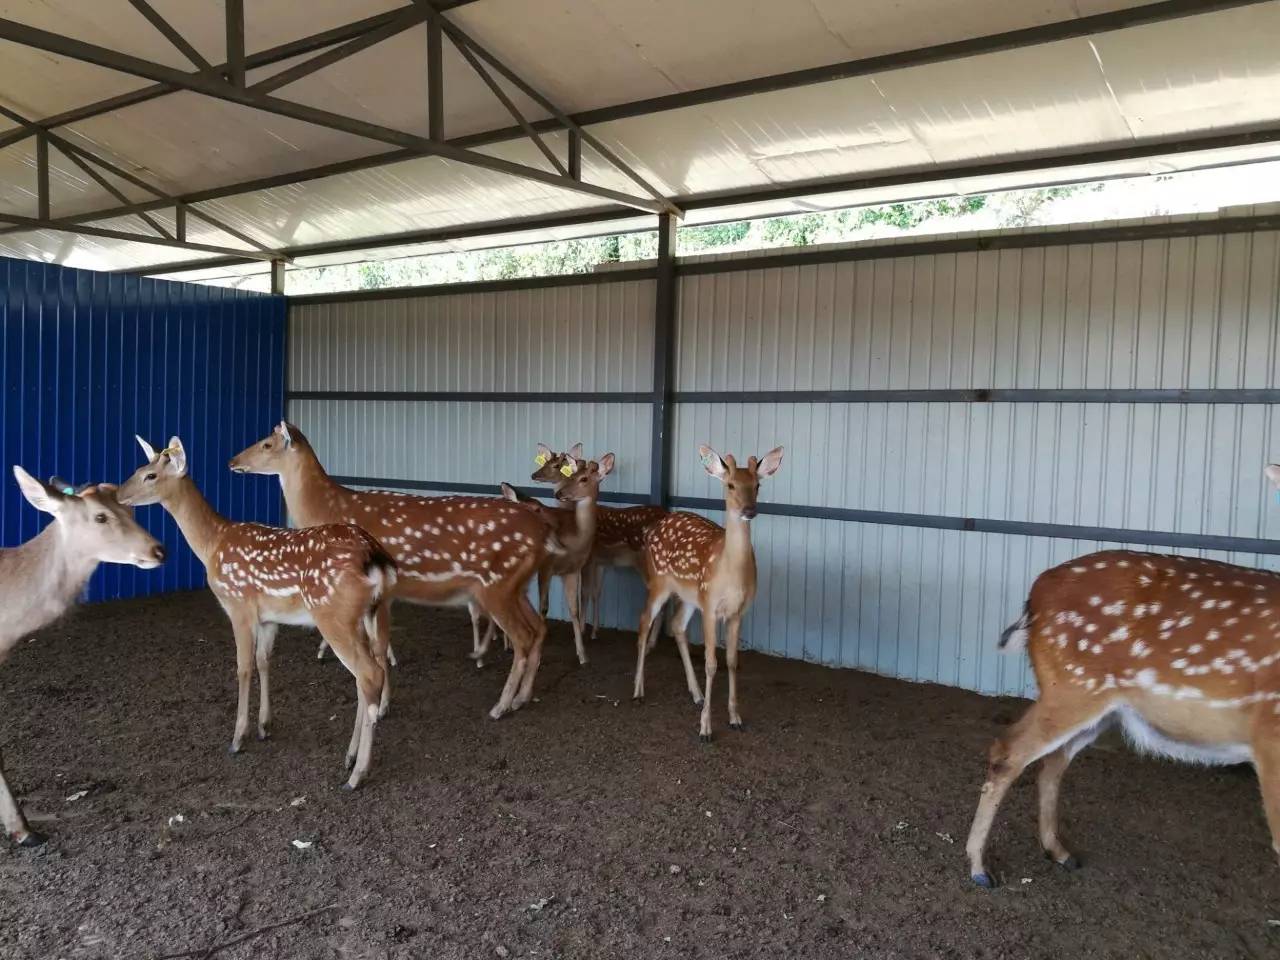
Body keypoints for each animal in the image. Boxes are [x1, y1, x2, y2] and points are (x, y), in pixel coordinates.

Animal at [123, 437, 399, 788]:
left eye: (150, 476)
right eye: (137, 469)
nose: (119, 494)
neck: (212, 544)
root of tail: (374, 557)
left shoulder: (238, 605)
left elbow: (243, 668)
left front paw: (238, 738)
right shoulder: (268, 618)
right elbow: (264, 661)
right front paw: (264, 726)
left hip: (334, 614)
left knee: (368, 674)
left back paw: (357, 774)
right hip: (373, 613)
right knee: (369, 674)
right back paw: (349, 757)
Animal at [229, 424, 555, 716]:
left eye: (267, 444)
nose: (232, 461)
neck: (329, 509)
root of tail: (542, 531)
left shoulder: (380, 592)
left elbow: (379, 649)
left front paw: (383, 704)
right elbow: (380, 646)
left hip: (496, 584)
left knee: (524, 636)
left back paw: (501, 706)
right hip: (516, 586)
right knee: (539, 628)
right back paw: (522, 698)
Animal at [629, 442, 778, 742]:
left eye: (757, 485)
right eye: (731, 485)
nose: (749, 510)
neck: (730, 573)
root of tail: (654, 526)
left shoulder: (737, 611)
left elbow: (731, 661)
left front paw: (735, 718)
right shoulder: (710, 606)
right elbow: (711, 663)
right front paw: (705, 728)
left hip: (689, 596)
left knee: (677, 625)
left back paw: (696, 694)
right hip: (659, 581)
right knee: (644, 621)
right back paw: (638, 691)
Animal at [962, 465, 1280, 885]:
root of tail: (1036, 596)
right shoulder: (1271, 736)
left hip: (1102, 707)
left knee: (1051, 763)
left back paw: (1059, 851)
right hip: (1073, 686)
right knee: (1009, 751)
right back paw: (980, 868)